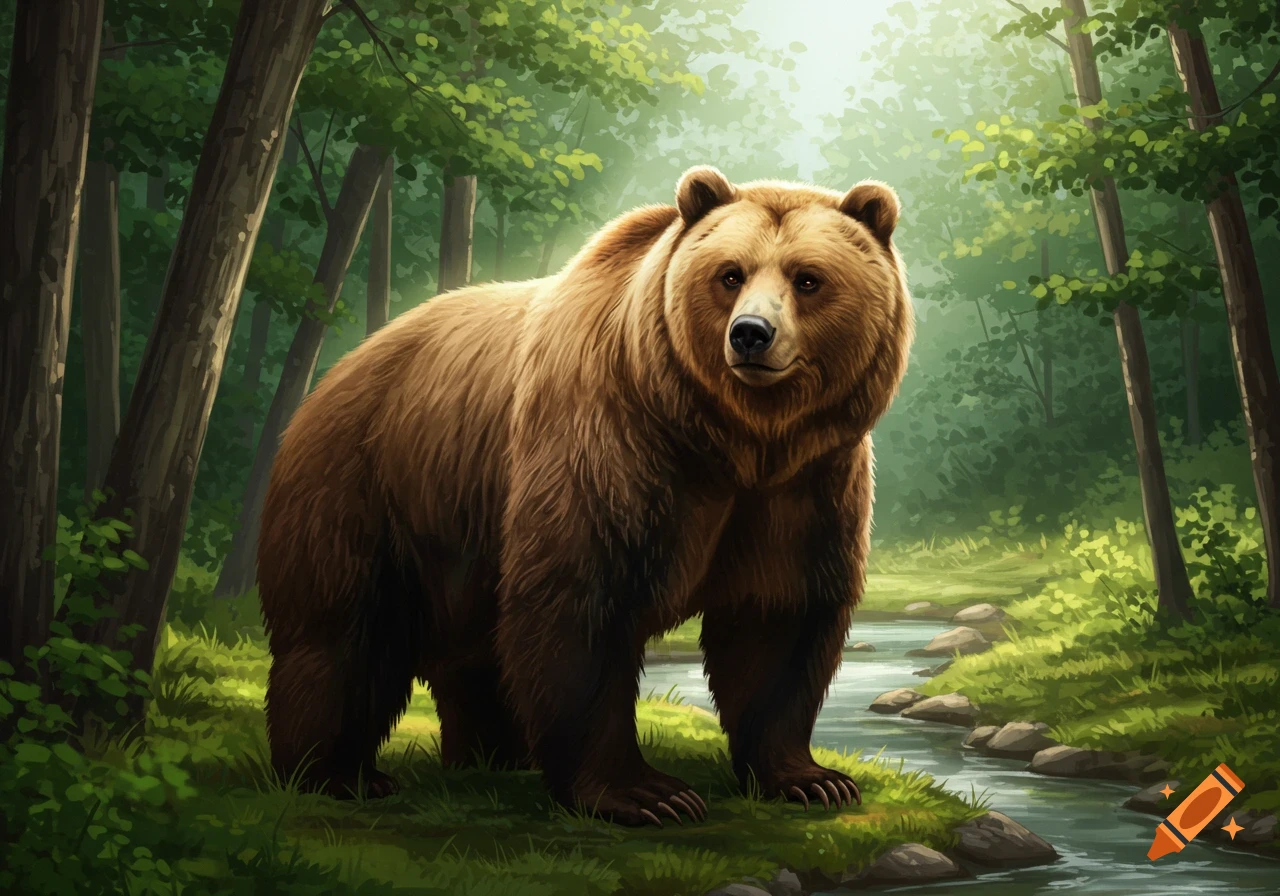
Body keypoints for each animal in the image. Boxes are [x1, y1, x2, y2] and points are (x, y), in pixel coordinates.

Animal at [256, 165, 914, 826]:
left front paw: (812, 779)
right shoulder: (608, 440)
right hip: (370, 485)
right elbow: (582, 598)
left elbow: (778, 614)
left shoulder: (807, 481)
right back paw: (338, 774)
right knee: (348, 631)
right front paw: (648, 794)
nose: (751, 334)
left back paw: (498, 754)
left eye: (808, 278)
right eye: (730, 273)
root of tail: (335, 373)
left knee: (474, 650)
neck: (730, 438)